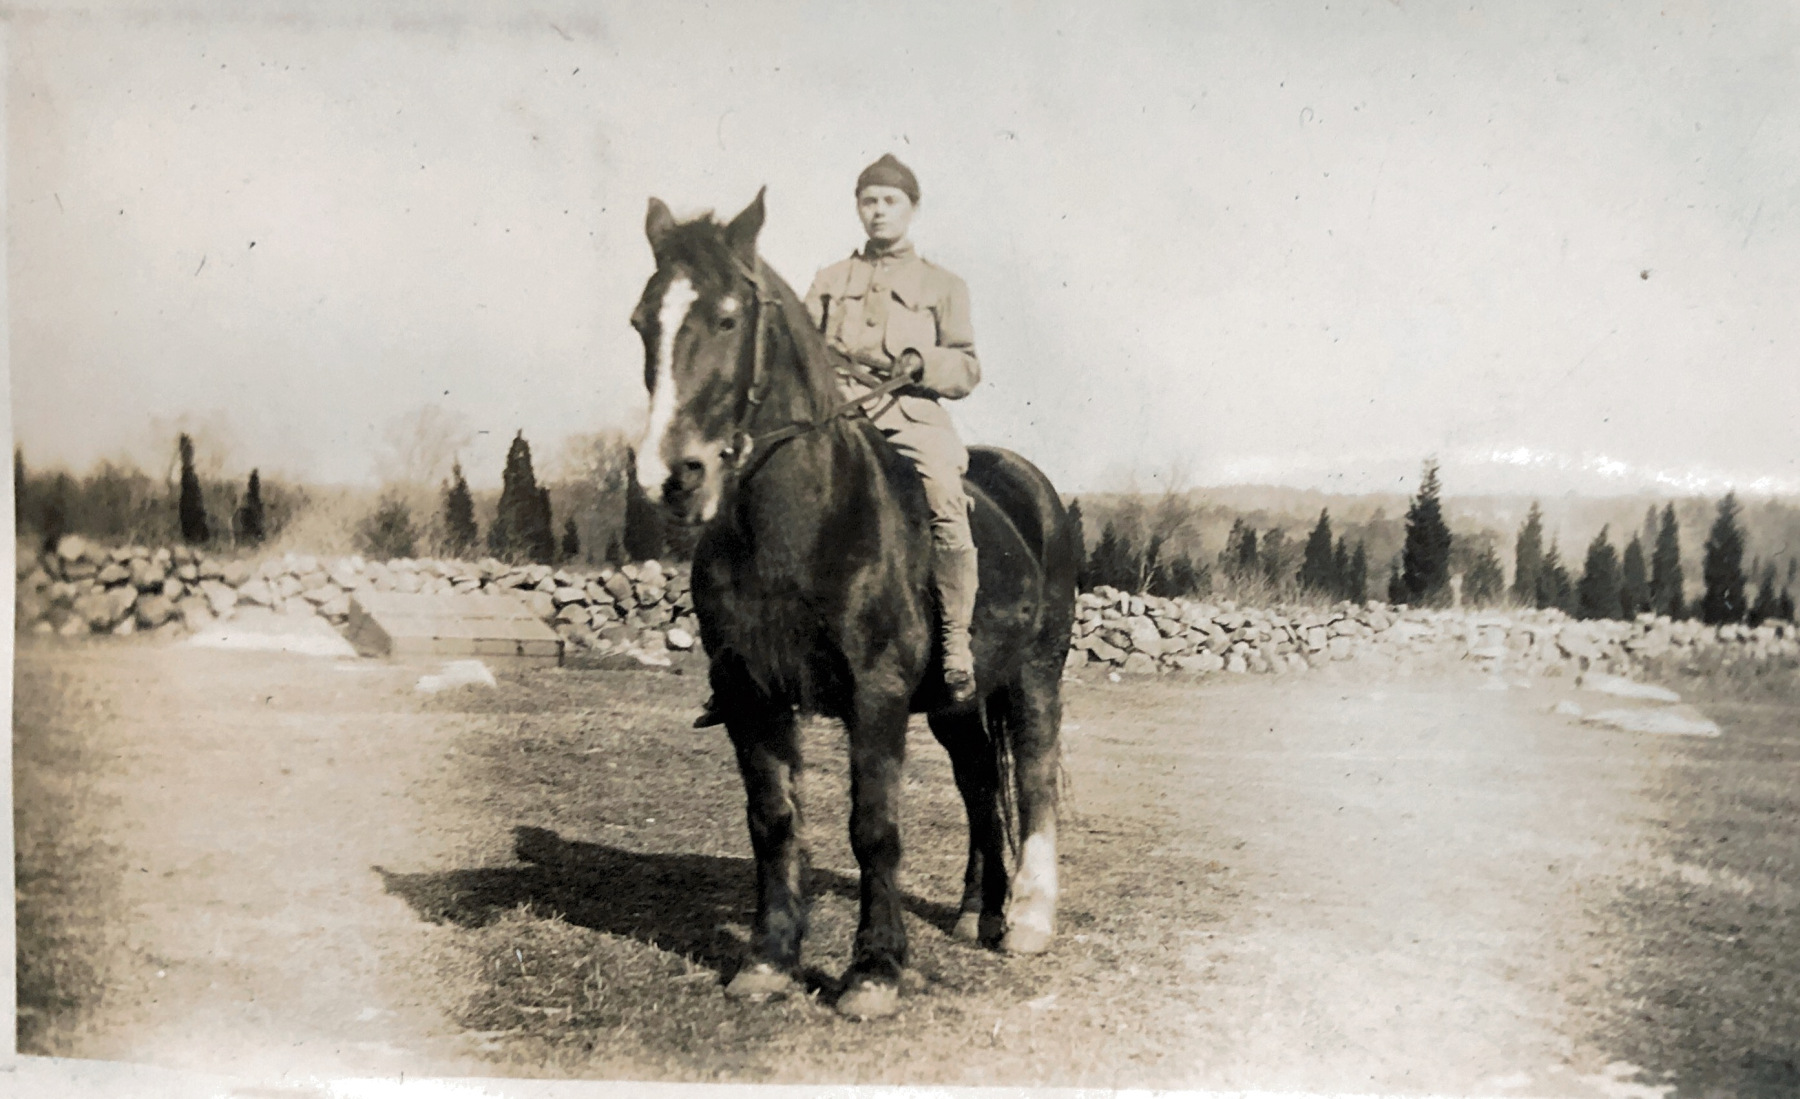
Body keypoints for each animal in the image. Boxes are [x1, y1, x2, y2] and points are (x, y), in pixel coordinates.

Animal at [630, 189, 1077, 1020]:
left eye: (730, 317)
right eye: (644, 320)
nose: (671, 475)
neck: (804, 523)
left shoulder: (876, 694)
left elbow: (874, 826)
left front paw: (874, 970)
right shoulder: (750, 695)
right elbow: (774, 821)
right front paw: (769, 959)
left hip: (1036, 676)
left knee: (1031, 777)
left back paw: (1029, 919)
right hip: (956, 701)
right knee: (978, 785)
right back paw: (980, 910)